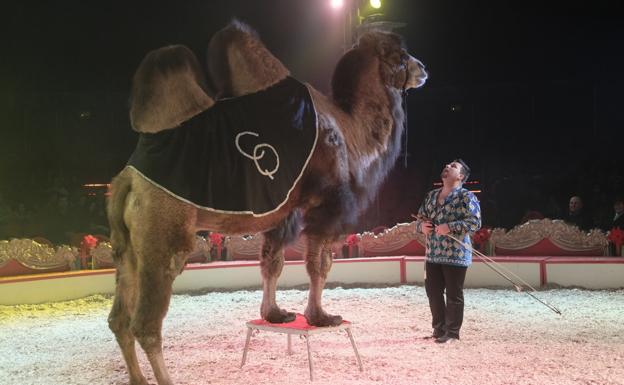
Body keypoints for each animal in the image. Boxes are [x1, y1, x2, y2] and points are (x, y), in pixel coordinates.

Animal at [107, 20, 426, 384]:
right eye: (401, 55)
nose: (424, 69)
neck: (351, 128)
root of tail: (128, 179)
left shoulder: (282, 215)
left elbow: (272, 263)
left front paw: (275, 314)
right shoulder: (325, 206)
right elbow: (319, 265)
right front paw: (320, 316)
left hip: (128, 247)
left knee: (118, 318)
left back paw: (137, 377)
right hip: (163, 231)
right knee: (145, 323)